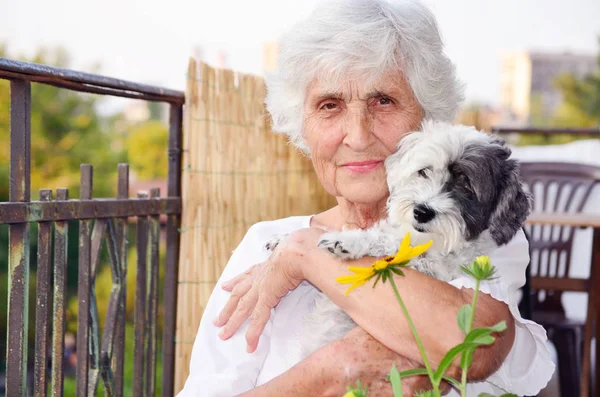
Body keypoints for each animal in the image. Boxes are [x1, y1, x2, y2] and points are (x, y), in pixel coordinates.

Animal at [268, 120, 528, 356]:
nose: (422, 211)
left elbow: (387, 242)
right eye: (424, 171)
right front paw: (285, 237)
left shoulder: (433, 267)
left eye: (466, 186)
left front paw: (348, 241)